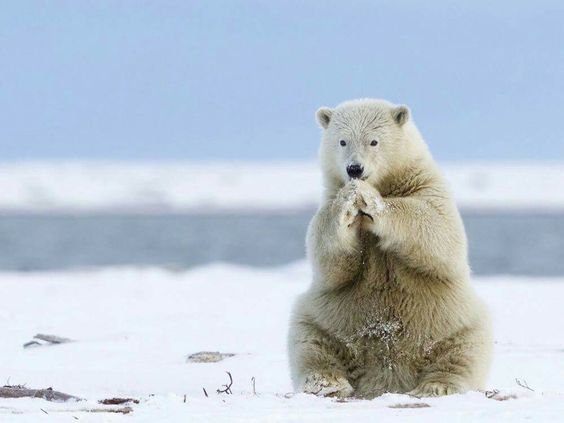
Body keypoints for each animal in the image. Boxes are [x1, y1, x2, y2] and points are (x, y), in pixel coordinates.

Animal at [288, 97, 492, 400]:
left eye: (374, 141)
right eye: (342, 141)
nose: (354, 169)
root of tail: (386, 379)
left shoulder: (427, 187)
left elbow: (438, 230)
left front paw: (371, 200)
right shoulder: (327, 200)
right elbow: (328, 258)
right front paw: (349, 201)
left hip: (452, 319)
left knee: (464, 349)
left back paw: (436, 385)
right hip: (327, 317)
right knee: (310, 341)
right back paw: (327, 383)